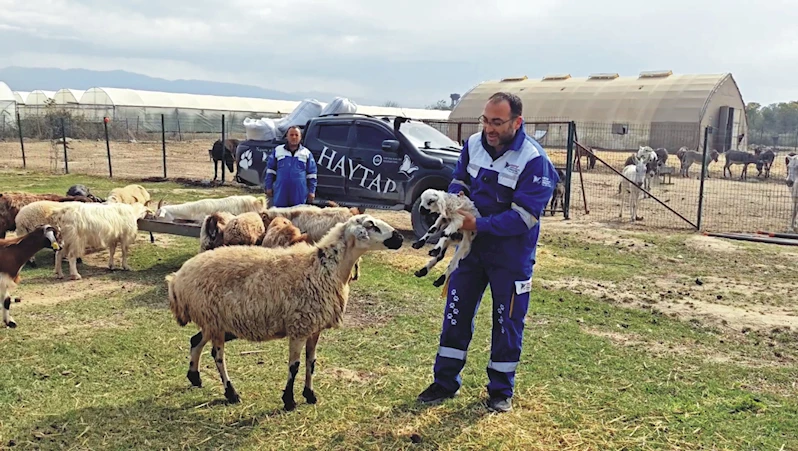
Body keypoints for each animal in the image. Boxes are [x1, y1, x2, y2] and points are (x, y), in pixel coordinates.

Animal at [168, 215, 406, 410]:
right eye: (371, 225)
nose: (400, 238)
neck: (324, 268)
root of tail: (177, 279)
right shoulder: (299, 326)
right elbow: (295, 366)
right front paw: (289, 400)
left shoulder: (314, 327)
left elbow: (311, 362)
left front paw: (310, 395)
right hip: (214, 318)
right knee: (217, 355)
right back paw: (231, 392)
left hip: (213, 322)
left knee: (195, 341)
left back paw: (195, 377)